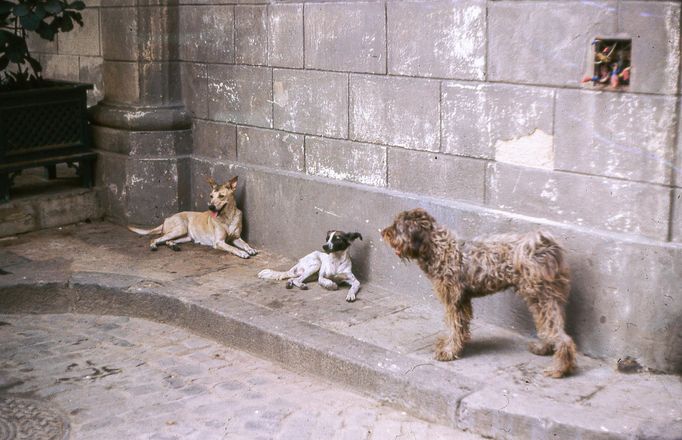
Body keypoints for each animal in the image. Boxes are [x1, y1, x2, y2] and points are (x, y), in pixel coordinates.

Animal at [126, 175, 256, 258]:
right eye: (211, 196)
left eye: (221, 196)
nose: (211, 207)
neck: (227, 217)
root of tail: (166, 219)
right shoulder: (218, 242)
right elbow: (233, 248)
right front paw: (242, 252)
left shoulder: (236, 238)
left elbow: (245, 244)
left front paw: (250, 249)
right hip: (180, 228)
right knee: (156, 239)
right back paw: (154, 245)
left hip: (186, 236)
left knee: (167, 240)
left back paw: (173, 245)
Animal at [380, 208, 576, 376]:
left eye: (397, 226)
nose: (382, 232)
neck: (437, 248)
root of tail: (543, 248)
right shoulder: (463, 301)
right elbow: (460, 327)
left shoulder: (453, 300)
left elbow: (454, 326)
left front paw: (448, 351)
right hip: (543, 300)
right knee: (550, 326)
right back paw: (543, 348)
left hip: (541, 297)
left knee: (561, 336)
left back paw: (559, 368)